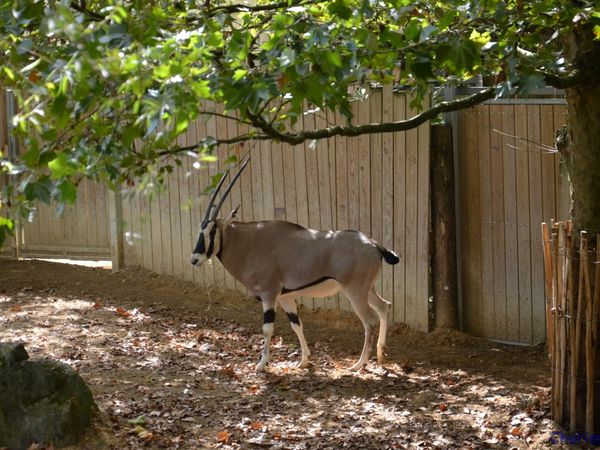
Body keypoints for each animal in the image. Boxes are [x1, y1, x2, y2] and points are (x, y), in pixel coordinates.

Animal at [191, 157, 398, 370]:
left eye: (212, 231)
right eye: (200, 229)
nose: (195, 259)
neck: (250, 242)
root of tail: (373, 244)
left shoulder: (269, 295)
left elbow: (267, 328)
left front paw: (262, 363)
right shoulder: (285, 297)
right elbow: (296, 325)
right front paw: (304, 361)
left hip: (355, 291)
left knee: (370, 321)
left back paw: (358, 364)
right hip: (368, 289)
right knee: (384, 307)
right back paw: (380, 354)